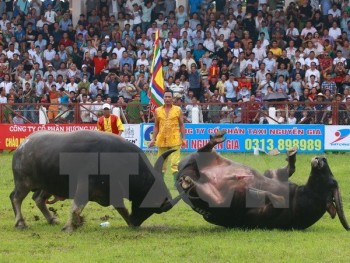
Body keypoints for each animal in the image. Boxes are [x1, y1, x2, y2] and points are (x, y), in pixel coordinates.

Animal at [10, 131, 180, 232]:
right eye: (153, 207)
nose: (137, 222)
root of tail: (22, 146)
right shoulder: (85, 186)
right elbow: (76, 208)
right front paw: (70, 226)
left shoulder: (114, 192)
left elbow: (123, 210)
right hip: (24, 183)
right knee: (16, 198)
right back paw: (21, 223)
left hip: (47, 185)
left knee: (38, 199)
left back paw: (51, 219)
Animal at [178, 131, 350, 230]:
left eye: (332, 182)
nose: (322, 158)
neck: (299, 197)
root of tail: (183, 171)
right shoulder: (275, 176)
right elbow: (286, 170)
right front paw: (291, 154)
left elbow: (276, 199)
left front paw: (254, 191)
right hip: (208, 159)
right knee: (203, 151)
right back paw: (216, 139)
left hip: (214, 199)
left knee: (196, 189)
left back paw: (188, 181)